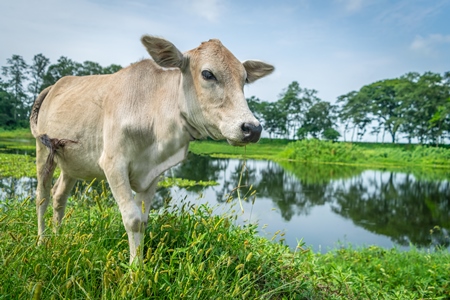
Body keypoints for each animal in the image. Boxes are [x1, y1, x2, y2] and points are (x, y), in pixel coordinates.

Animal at [30, 35, 274, 264]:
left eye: (244, 79)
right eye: (207, 74)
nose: (252, 128)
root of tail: (54, 86)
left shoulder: (153, 172)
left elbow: (143, 220)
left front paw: (140, 266)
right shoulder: (113, 163)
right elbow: (133, 219)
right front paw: (134, 271)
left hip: (71, 164)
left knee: (59, 196)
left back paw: (58, 236)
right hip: (43, 152)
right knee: (42, 196)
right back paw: (42, 241)